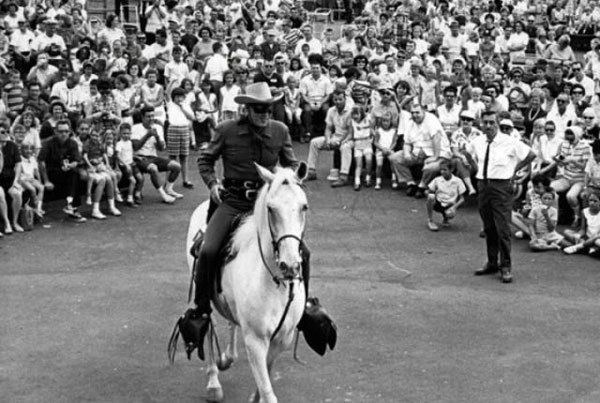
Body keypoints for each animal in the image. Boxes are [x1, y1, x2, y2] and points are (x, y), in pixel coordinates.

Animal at [184, 163, 310, 403]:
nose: (289, 265)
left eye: (304, 207)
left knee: (231, 322)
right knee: (207, 324)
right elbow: (268, 391)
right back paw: (213, 382)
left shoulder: (282, 339)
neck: (273, 283)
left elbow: (266, 377)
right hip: (202, 291)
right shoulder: (255, 341)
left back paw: (228, 357)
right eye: (270, 208)